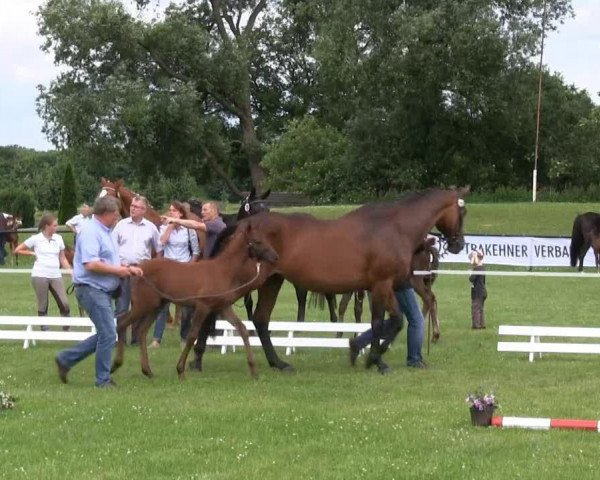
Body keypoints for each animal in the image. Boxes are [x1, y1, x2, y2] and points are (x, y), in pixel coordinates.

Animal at [110, 223, 278, 380]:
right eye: (257, 241)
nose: (275, 257)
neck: (223, 271)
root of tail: (137, 269)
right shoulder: (203, 307)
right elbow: (192, 336)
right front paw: (180, 370)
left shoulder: (223, 308)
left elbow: (242, 329)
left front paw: (254, 370)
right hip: (143, 305)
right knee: (122, 323)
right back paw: (116, 365)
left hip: (156, 306)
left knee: (142, 331)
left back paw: (147, 371)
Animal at [192, 186, 468, 374]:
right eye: (462, 211)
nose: (458, 244)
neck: (394, 228)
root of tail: (243, 224)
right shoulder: (381, 285)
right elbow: (382, 322)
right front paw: (374, 359)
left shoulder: (386, 286)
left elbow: (394, 321)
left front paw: (360, 349)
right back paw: (197, 359)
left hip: (272, 281)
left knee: (260, 319)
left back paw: (278, 363)